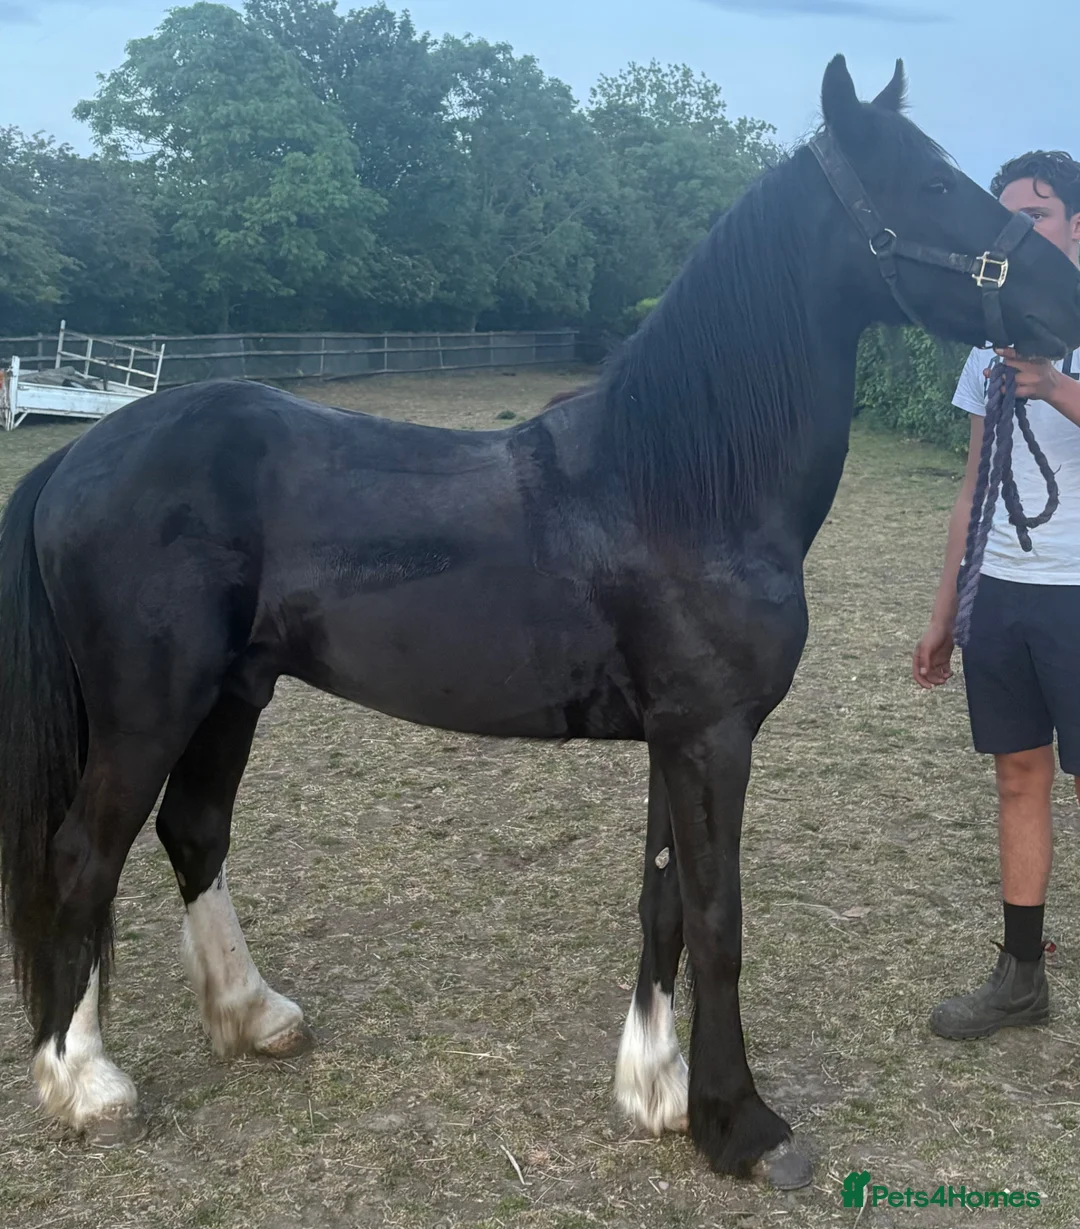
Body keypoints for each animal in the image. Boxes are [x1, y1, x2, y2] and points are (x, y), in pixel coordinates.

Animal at [3, 55, 1080, 1192]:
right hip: (146, 711)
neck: (676, 486)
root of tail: (76, 457)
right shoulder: (712, 737)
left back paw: (254, 1016)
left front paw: (658, 1092)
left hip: (232, 695)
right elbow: (720, 919)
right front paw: (742, 1125)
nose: (1065, 299)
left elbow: (663, 905)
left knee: (193, 831)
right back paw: (86, 1082)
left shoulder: (680, 737)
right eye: (932, 184)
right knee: (83, 856)